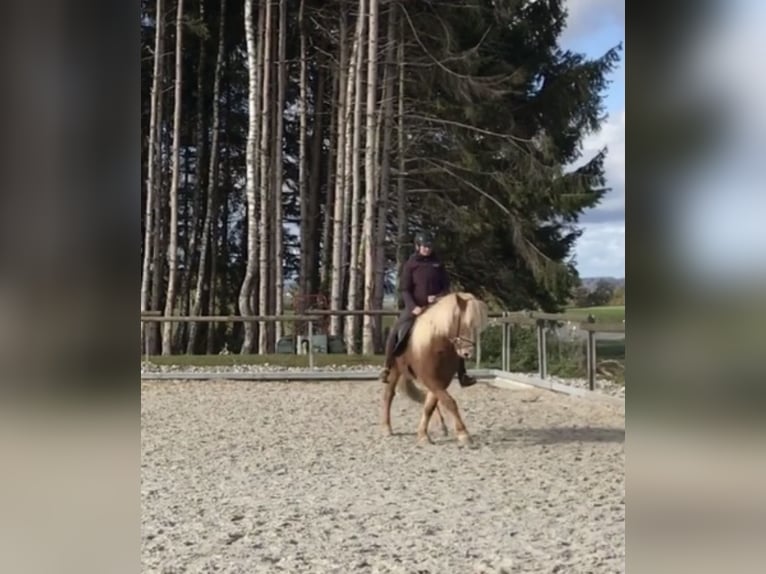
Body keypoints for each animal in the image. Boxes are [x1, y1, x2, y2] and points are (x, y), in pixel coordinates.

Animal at [380, 292, 489, 445]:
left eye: (477, 327)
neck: (438, 345)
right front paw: (463, 433)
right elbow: (449, 402)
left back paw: (442, 426)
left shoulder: (440, 380)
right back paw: (386, 428)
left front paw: (423, 434)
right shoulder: (431, 380)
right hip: (395, 370)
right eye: (464, 324)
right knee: (389, 395)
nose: (467, 353)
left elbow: (430, 406)